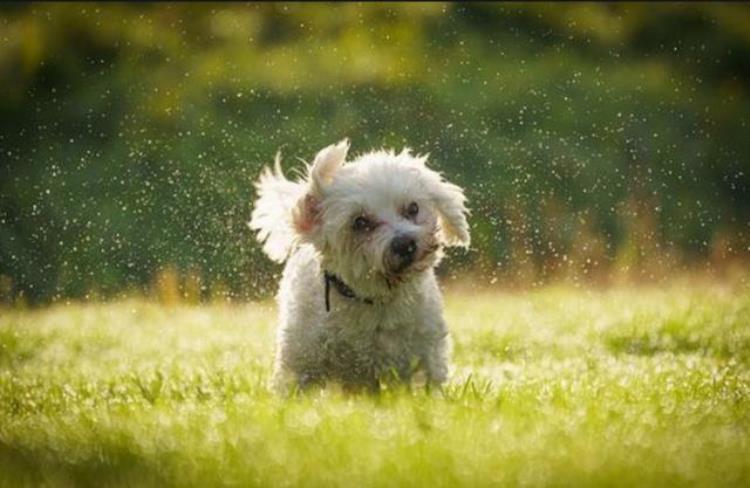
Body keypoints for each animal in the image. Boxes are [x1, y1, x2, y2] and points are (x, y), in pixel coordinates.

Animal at [253, 140, 472, 392]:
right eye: (360, 222)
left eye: (413, 208)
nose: (405, 244)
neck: (375, 300)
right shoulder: (300, 359)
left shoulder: (426, 354)